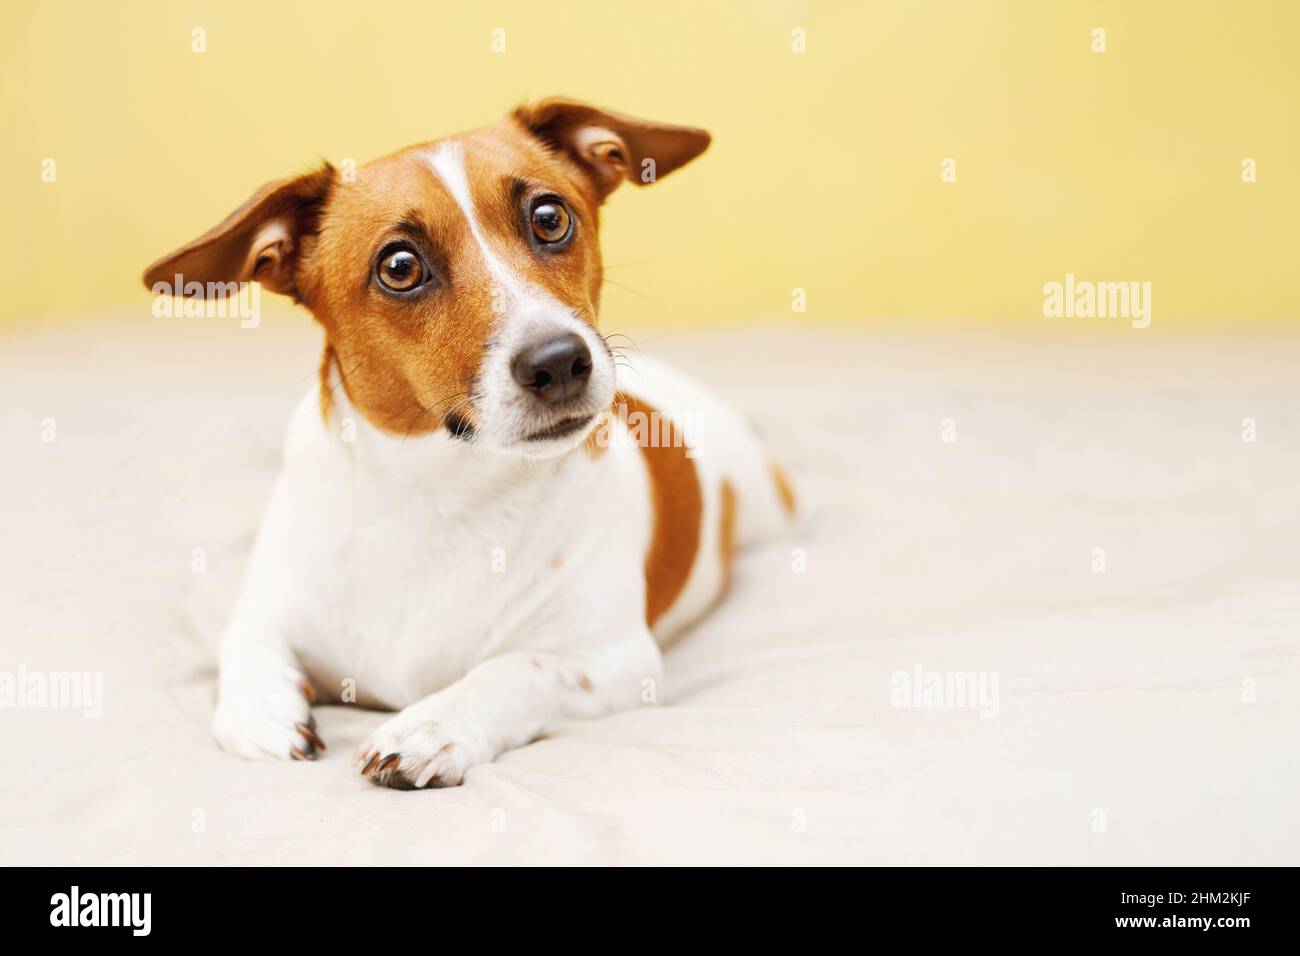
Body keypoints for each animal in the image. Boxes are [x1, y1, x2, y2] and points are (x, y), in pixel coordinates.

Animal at [142, 97, 790, 790]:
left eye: (550, 217)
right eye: (399, 266)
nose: (560, 361)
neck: (440, 490)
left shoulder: (614, 662)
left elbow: (513, 670)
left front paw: (432, 726)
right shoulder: (270, 607)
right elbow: (245, 644)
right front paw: (263, 711)